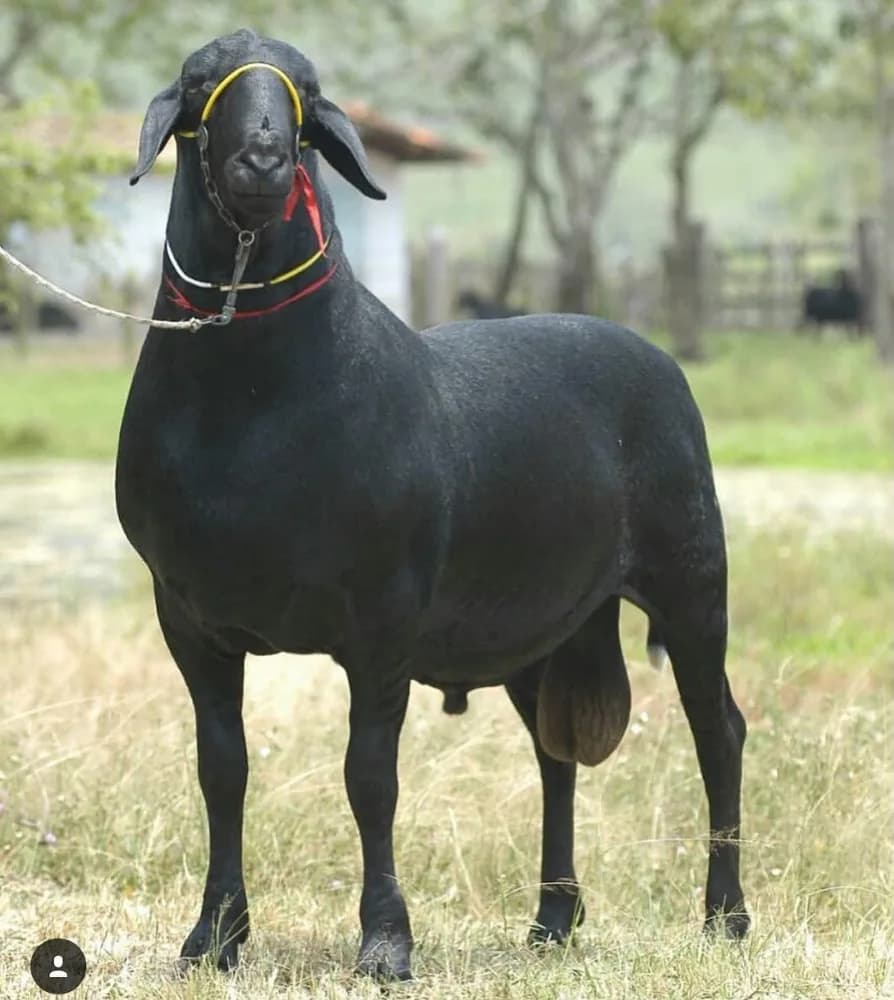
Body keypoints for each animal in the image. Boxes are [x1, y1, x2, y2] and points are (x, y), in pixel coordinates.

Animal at [116, 29, 749, 981]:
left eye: (307, 92)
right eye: (198, 83)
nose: (262, 159)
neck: (250, 403)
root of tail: (650, 352)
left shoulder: (382, 615)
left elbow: (370, 778)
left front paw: (385, 941)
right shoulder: (187, 614)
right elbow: (221, 768)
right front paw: (214, 936)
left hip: (691, 577)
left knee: (720, 731)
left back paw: (726, 916)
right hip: (542, 622)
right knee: (555, 756)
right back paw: (552, 920)